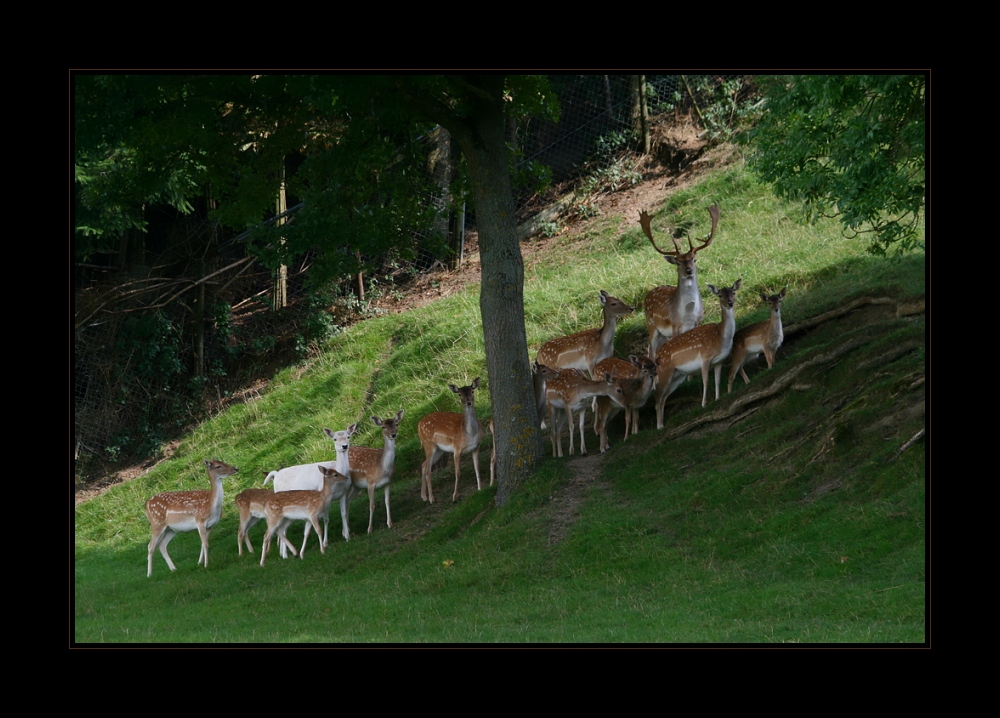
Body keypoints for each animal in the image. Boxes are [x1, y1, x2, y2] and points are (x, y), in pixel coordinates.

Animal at [640, 204, 720, 356]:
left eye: (694, 259)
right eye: (678, 262)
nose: (689, 271)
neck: (688, 313)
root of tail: (648, 295)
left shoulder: (698, 321)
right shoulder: (674, 325)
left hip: (663, 334)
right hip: (652, 325)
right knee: (651, 351)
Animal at [652, 280, 740, 428]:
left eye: (733, 292)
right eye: (720, 295)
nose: (730, 303)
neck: (721, 337)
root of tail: (657, 357)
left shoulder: (719, 361)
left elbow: (717, 380)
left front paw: (718, 398)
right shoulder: (705, 357)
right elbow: (705, 380)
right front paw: (704, 404)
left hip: (677, 376)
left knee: (663, 397)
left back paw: (662, 424)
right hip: (664, 371)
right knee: (658, 398)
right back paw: (659, 426)